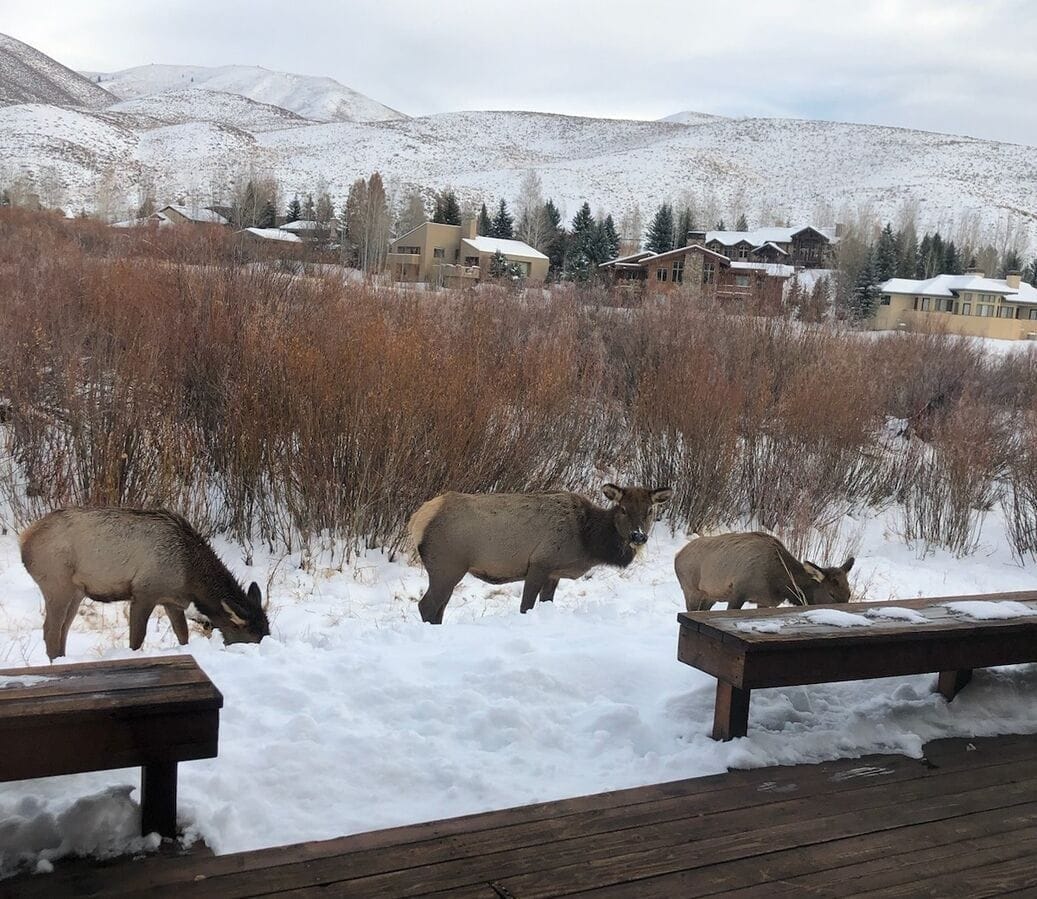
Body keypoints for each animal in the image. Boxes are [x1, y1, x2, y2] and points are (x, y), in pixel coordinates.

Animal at [21, 506, 271, 659]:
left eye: (266, 631)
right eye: (252, 638)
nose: (266, 648)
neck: (190, 577)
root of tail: (24, 539)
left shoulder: (171, 600)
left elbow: (183, 635)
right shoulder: (144, 592)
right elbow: (136, 639)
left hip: (76, 591)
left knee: (63, 628)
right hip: (56, 582)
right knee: (51, 630)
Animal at [404, 485, 671, 626]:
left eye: (649, 510)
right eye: (623, 509)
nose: (638, 536)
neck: (587, 540)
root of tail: (417, 519)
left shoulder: (554, 572)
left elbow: (545, 602)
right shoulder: (540, 562)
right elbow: (526, 606)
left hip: (449, 569)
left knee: (440, 606)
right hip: (447, 564)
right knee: (427, 604)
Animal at [676, 530, 854, 613]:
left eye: (849, 593)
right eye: (831, 594)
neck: (780, 584)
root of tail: (677, 556)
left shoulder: (765, 601)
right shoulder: (738, 592)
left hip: (710, 596)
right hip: (692, 591)